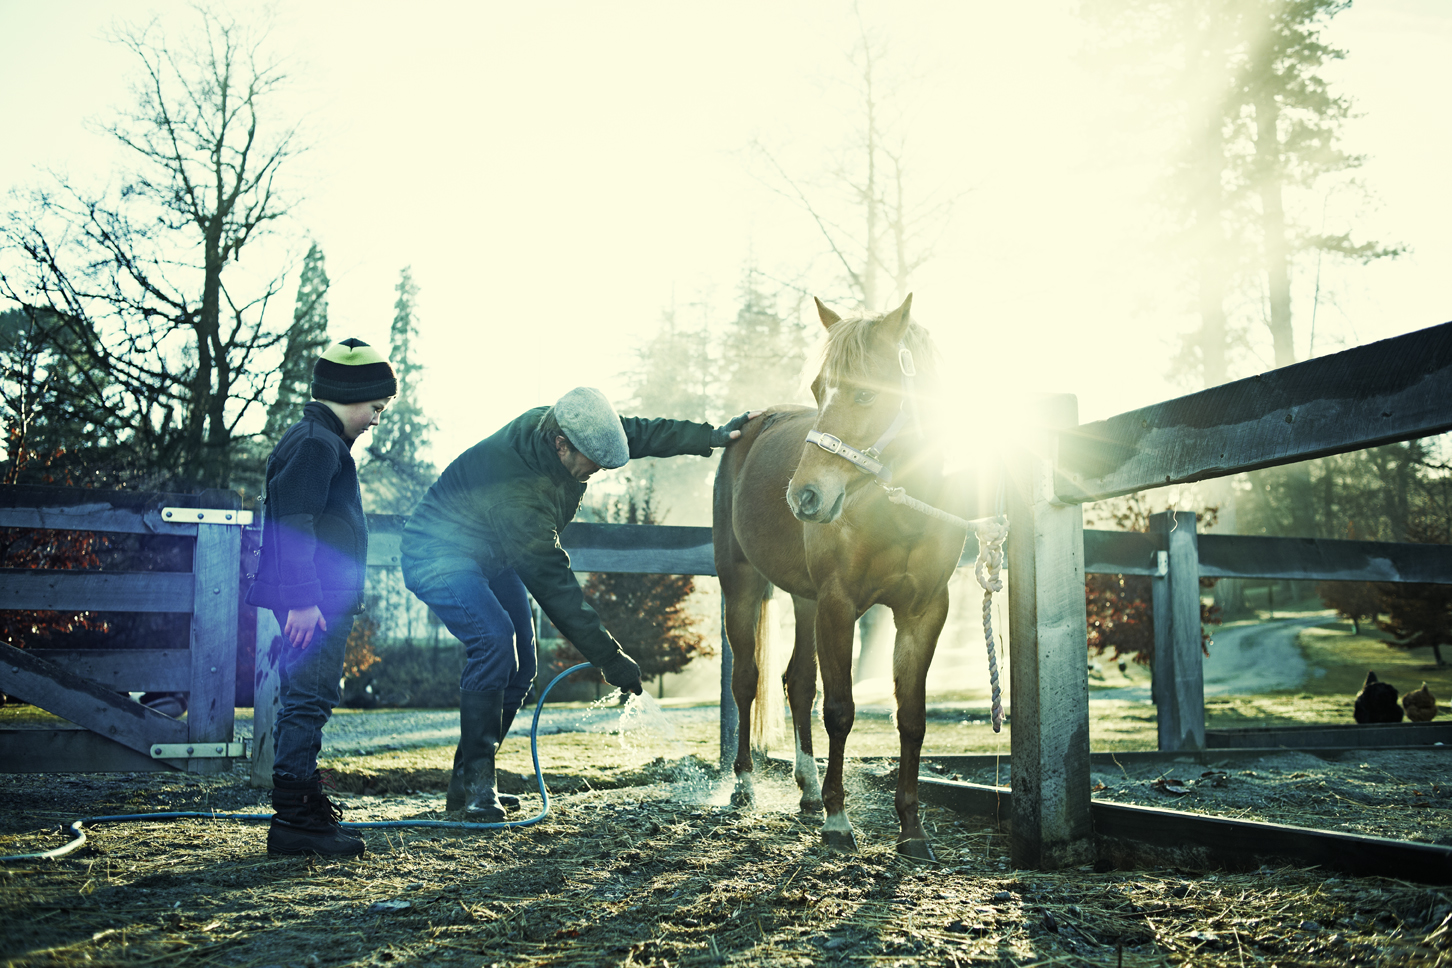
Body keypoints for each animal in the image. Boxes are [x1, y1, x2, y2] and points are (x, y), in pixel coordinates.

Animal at [711, 291, 969, 859]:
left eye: (867, 395)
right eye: (817, 388)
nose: (804, 496)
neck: (901, 509)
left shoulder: (924, 612)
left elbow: (910, 716)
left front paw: (912, 829)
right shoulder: (838, 604)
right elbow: (841, 710)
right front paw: (838, 821)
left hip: (804, 599)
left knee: (797, 682)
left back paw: (806, 790)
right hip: (741, 587)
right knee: (748, 681)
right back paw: (745, 786)